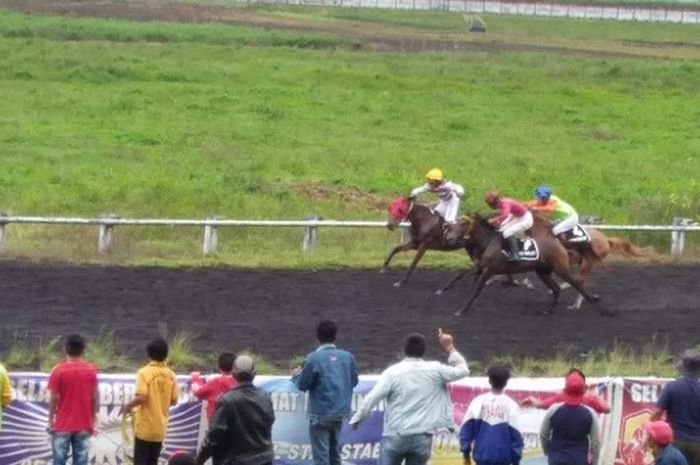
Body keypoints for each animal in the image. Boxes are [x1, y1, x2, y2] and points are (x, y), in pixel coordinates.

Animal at [454, 213, 600, 316]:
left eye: (463, 223)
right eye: (458, 221)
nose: (452, 234)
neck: (490, 242)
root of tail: (559, 244)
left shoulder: (488, 270)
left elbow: (477, 290)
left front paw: (462, 309)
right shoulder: (480, 267)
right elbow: (459, 276)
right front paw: (447, 290)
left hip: (561, 269)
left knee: (576, 283)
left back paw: (592, 300)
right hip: (543, 273)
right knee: (556, 288)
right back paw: (550, 311)